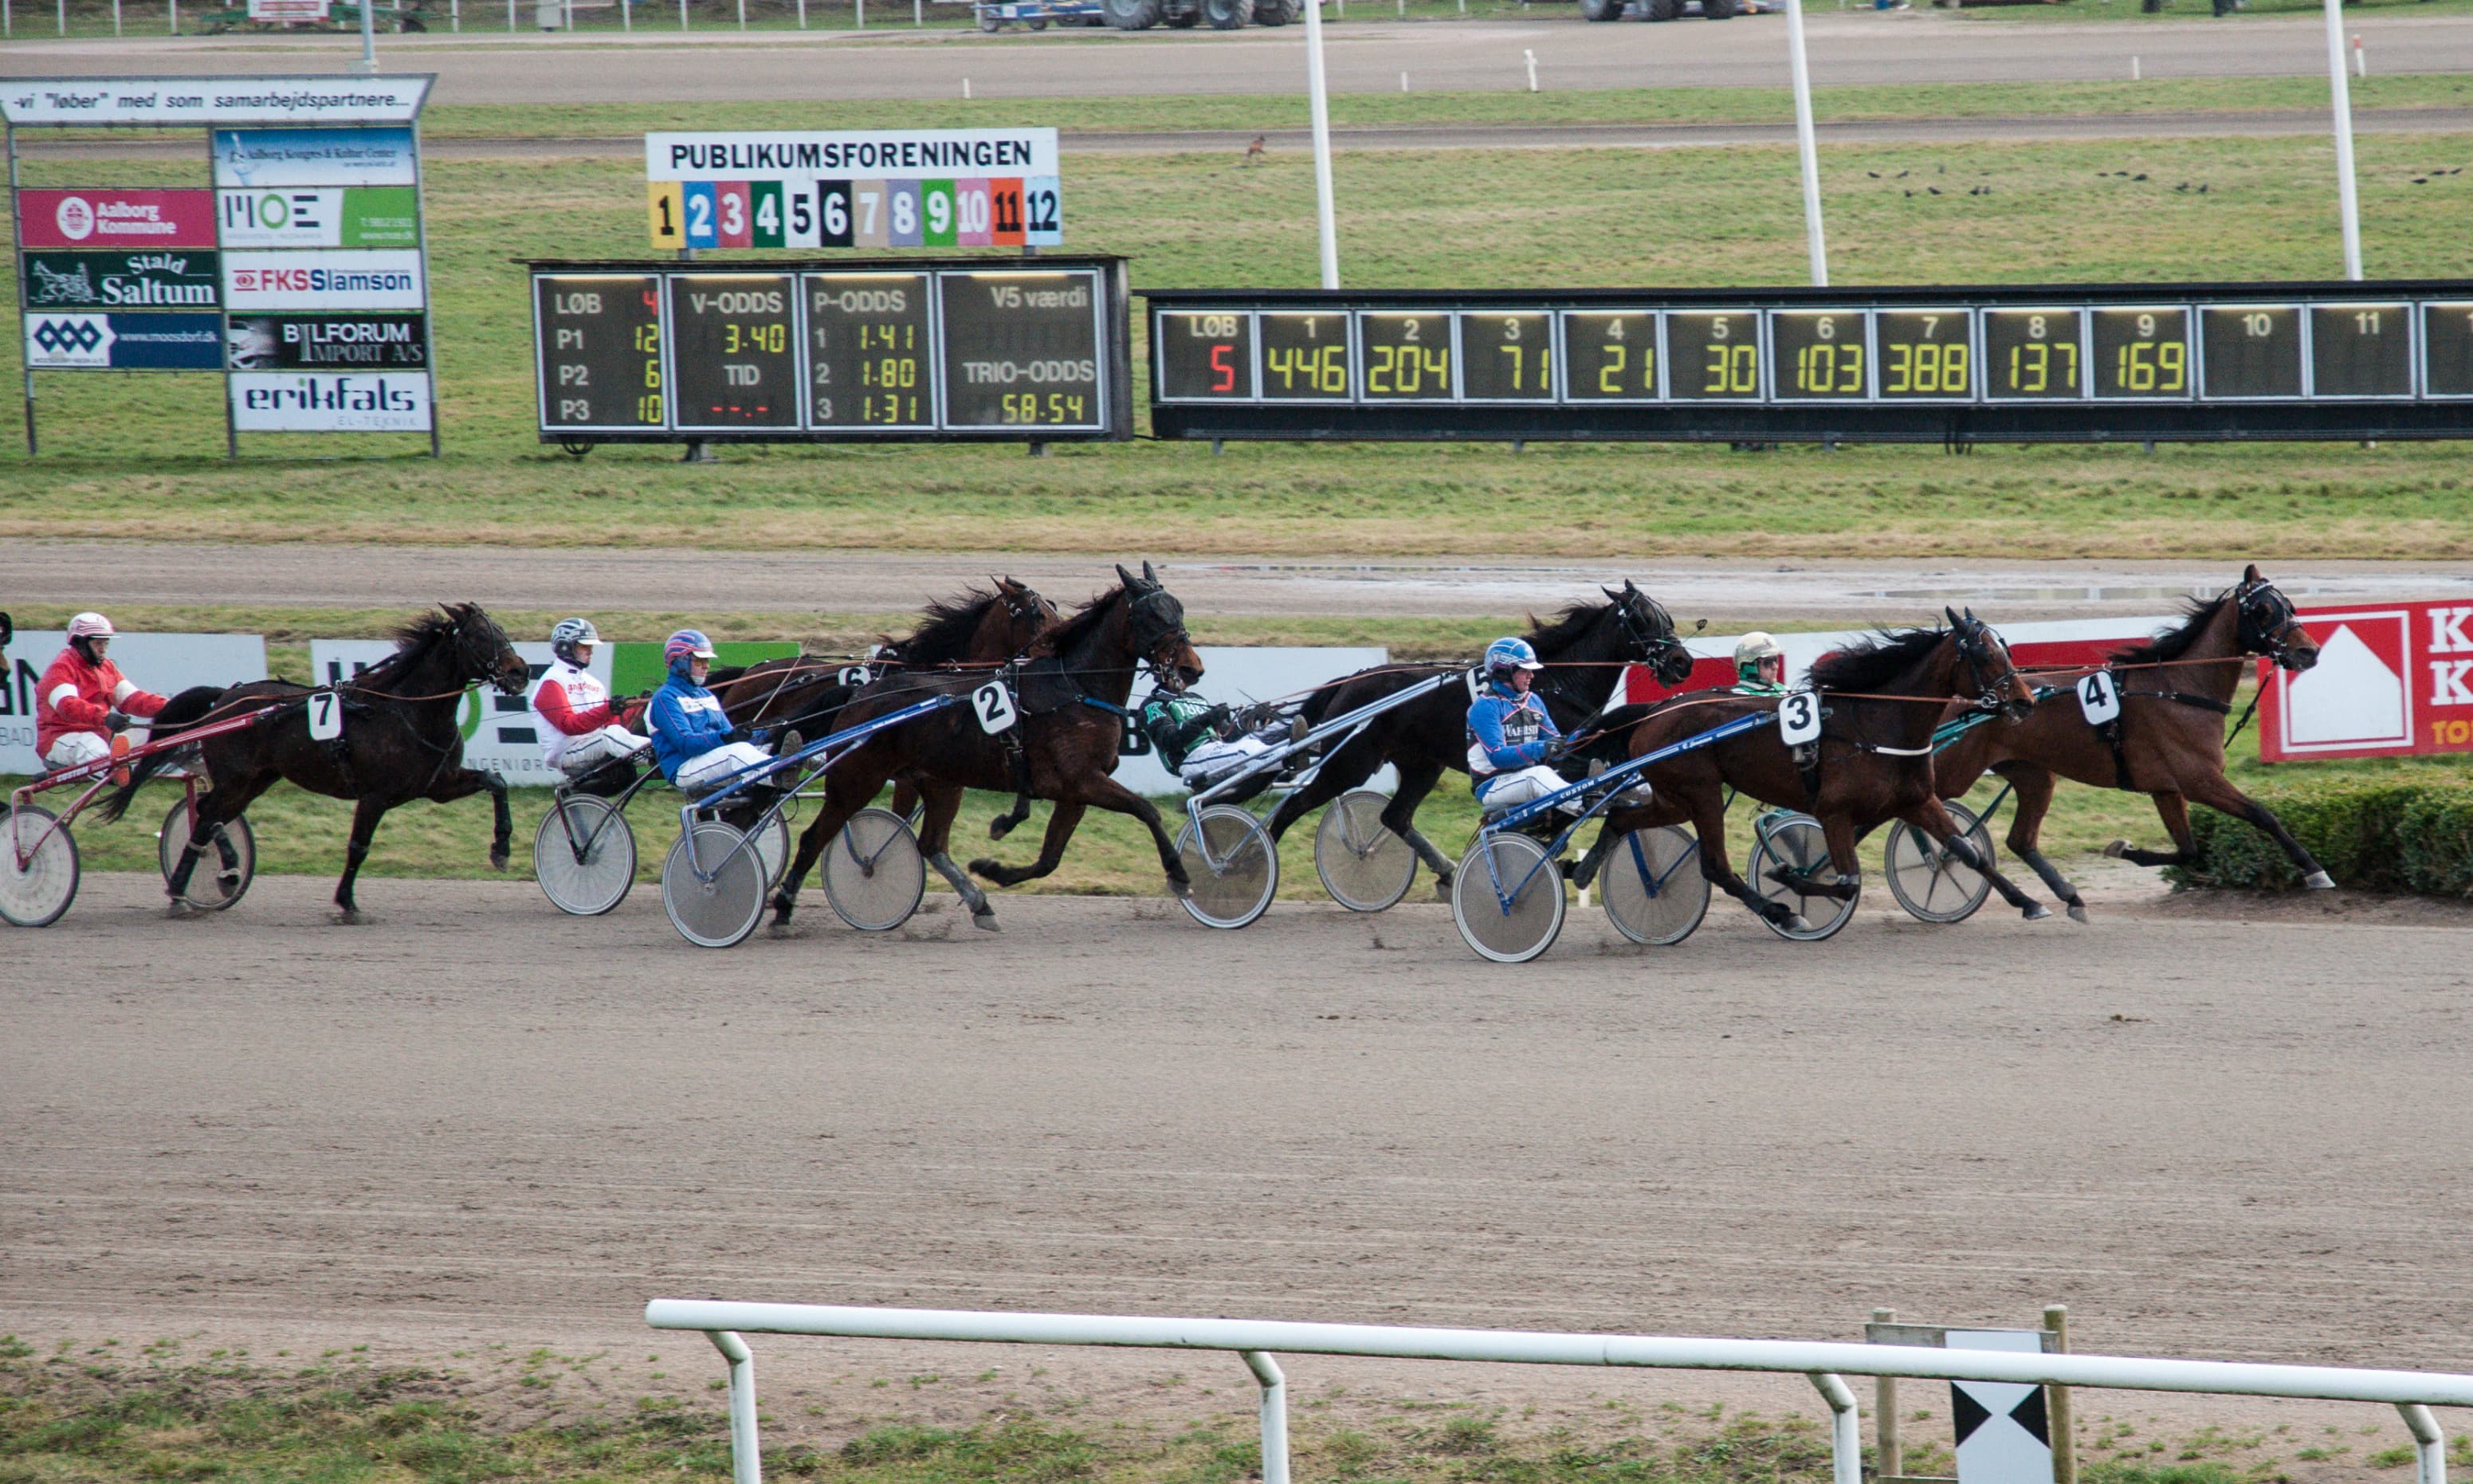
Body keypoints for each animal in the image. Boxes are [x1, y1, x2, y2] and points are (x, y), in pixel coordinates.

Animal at [100, 601, 526, 915]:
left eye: (500, 629)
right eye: (480, 636)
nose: (520, 672)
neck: (407, 709)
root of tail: (225, 697)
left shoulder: (438, 784)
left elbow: (496, 782)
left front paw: (501, 849)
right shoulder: (375, 796)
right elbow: (359, 846)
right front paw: (346, 902)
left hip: (257, 779)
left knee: (208, 812)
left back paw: (209, 879)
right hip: (237, 778)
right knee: (207, 813)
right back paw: (194, 883)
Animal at [761, 561, 1207, 935]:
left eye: (1180, 610)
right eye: (1153, 615)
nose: (1192, 668)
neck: (1075, 687)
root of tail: (860, 695)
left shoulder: (1075, 792)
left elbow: (1049, 859)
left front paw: (994, 869)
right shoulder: (1083, 780)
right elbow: (1147, 811)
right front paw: (1179, 875)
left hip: (941, 782)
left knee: (931, 844)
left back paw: (979, 903)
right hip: (856, 777)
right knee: (815, 837)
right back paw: (783, 907)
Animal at [1256, 586, 1701, 890]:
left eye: (1665, 615)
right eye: (1643, 618)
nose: (1682, 662)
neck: (1559, 681)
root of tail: (1350, 681)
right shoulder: (1560, 763)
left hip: (1421, 766)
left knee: (1394, 816)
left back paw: (1447, 871)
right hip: (1351, 762)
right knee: (1293, 807)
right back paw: (1256, 861)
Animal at [1592, 606, 2057, 935]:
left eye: (2007, 649)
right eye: (1983, 653)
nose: (2024, 702)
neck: (1875, 723)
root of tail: (1655, 710)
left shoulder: (1917, 800)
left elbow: (1968, 851)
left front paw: (2032, 902)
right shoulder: (1834, 811)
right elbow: (1848, 880)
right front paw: (1789, 878)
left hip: (1674, 796)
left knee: (1620, 817)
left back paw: (1584, 867)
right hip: (1700, 791)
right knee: (1715, 866)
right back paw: (1781, 912)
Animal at [1929, 566, 2334, 920]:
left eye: (2290, 605)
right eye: (2264, 610)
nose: (2308, 652)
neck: (2179, 689)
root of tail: (1957, 698)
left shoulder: (2167, 789)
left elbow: (2188, 851)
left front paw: (2125, 849)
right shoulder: (2199, 780)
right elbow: (2263, 815)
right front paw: (2315, 869)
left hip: (2034, 774)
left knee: (2019, 840)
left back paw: (2064, 896)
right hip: (1952, 771)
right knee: (1930, 814)